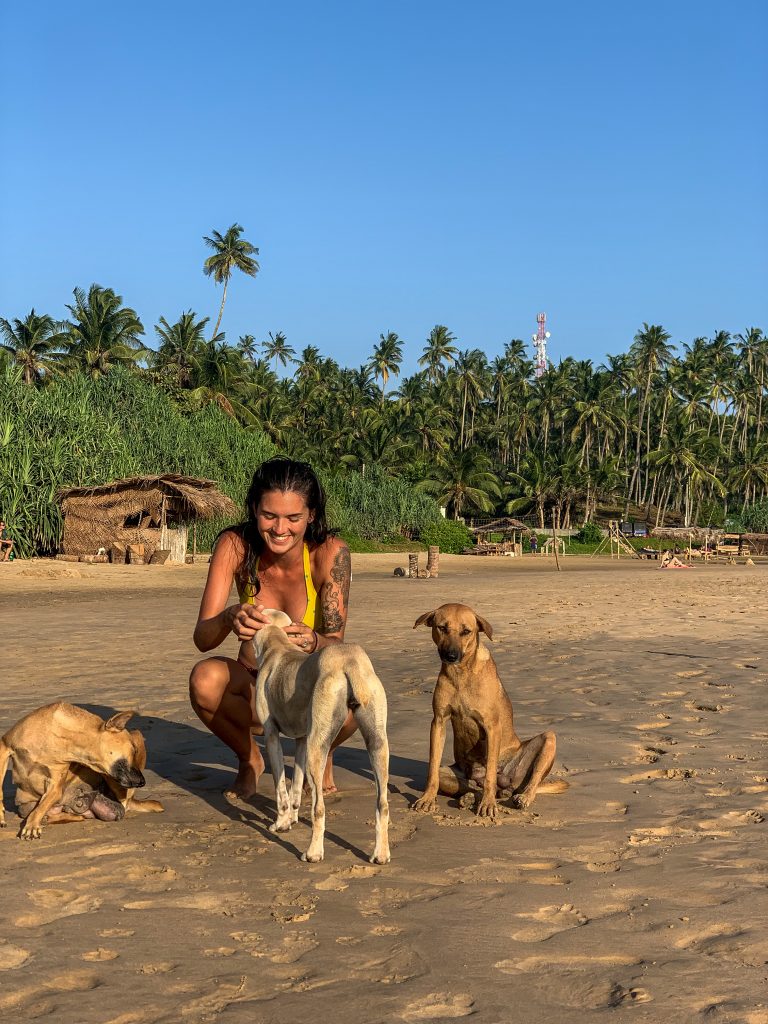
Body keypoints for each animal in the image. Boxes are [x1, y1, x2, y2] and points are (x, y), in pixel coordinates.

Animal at [253, 606, 391, 864]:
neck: (278, 645)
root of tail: (349, 659)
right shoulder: (301, 741)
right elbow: (296, 787)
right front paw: (292, 819)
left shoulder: (271, 736)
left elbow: (281, 789)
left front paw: (281, 824)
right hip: (377, 745)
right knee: (383, 804)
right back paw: (381, 853)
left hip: (317, 749)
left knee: (319, 808)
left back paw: (314, 853)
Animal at [411, 602, 569, 819]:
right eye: (442, 628)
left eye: (466, 631)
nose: (451, 655)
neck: (461, 673)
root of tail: (509, 783)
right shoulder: (439, 722)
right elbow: (432, 769)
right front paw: (427, 798)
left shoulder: (492, 727)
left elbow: (490, 776)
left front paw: (488, 805)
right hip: (457, 773)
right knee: (471, 785)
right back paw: (469, 798)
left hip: (546, 743)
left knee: (527, 781)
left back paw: (521, 797)